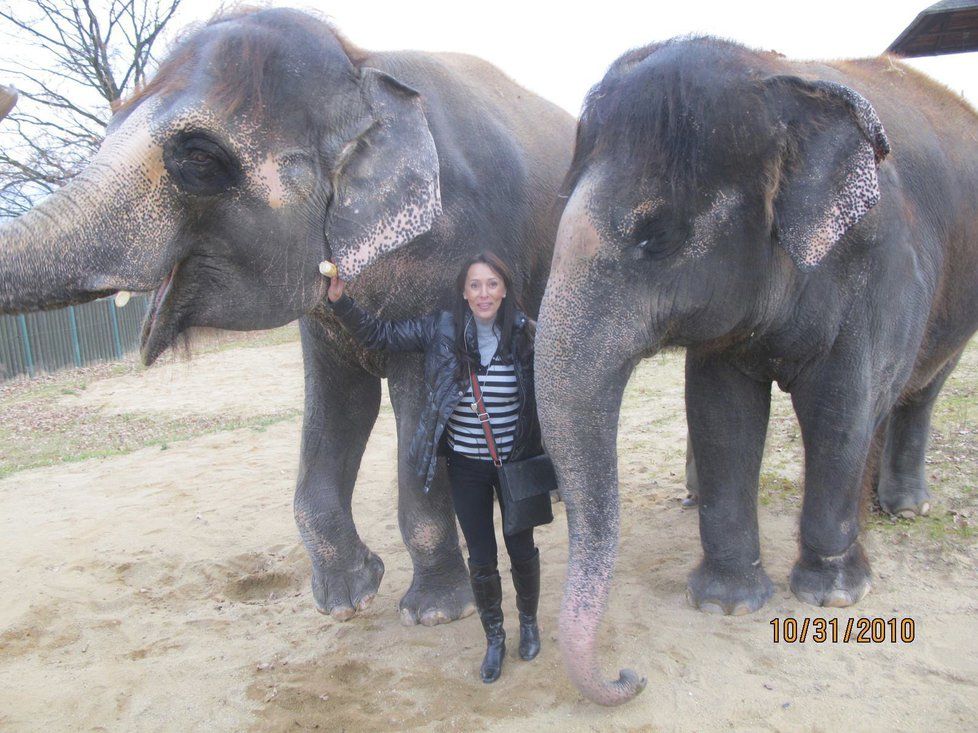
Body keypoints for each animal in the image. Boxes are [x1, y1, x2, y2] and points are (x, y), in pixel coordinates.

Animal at [0, 5, 572, 624]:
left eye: (198, 157)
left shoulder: (446, 257)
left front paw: (436, 613)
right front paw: (347, 600)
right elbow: (340, 403)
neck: (361, 70)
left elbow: (420, 406)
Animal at [536, 38, 976, 704]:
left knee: (918, 390)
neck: (774, 84)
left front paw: (834, 596)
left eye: (657, 236)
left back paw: (902, 511)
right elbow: (721, 413)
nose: (629, 676)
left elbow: (840, 408)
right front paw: (726, 604)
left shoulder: (883, 264)